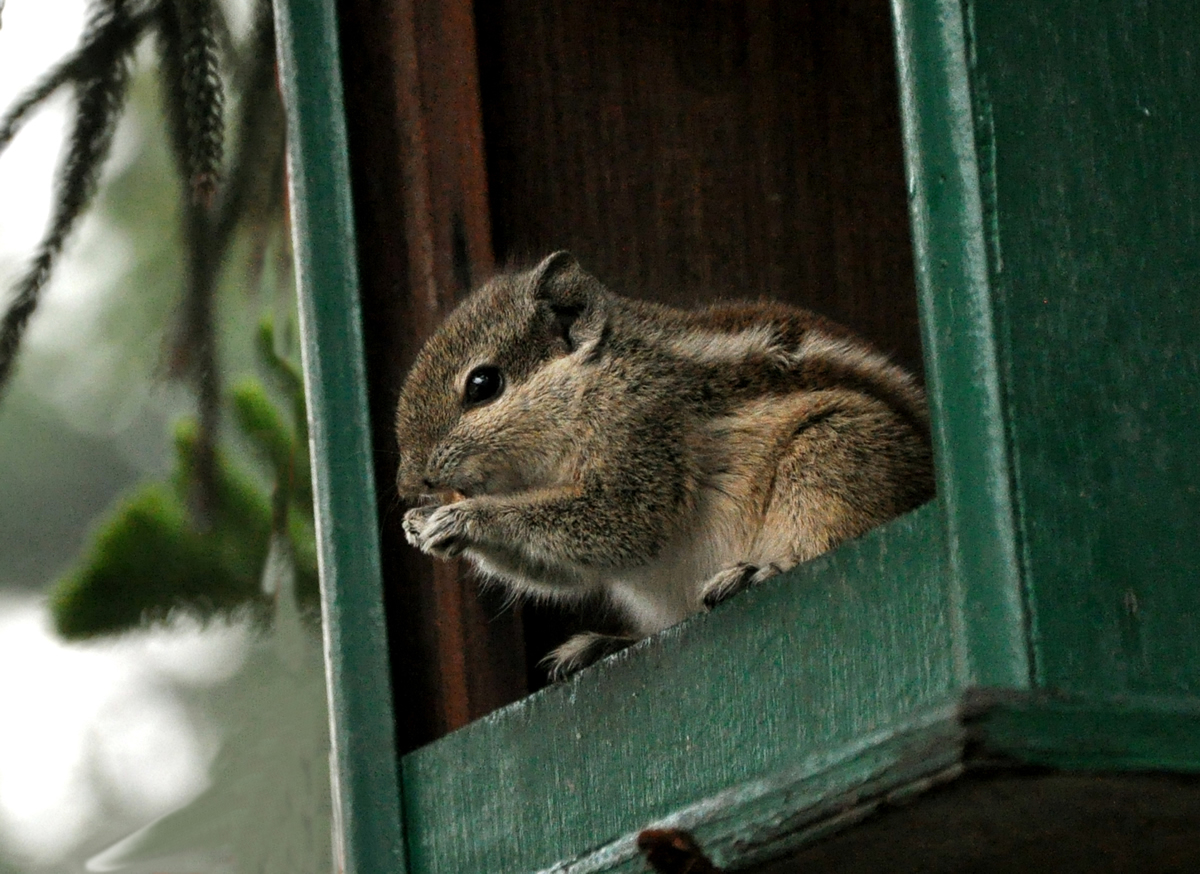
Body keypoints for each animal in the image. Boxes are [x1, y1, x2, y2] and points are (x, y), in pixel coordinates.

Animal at [396, 252, 935, 678]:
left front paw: (466, 518)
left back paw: (757, 572)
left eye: (483, 384)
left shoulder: (645, 438)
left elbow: (620, 524)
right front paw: (417, 524)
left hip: (831, 452)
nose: (407, 483)